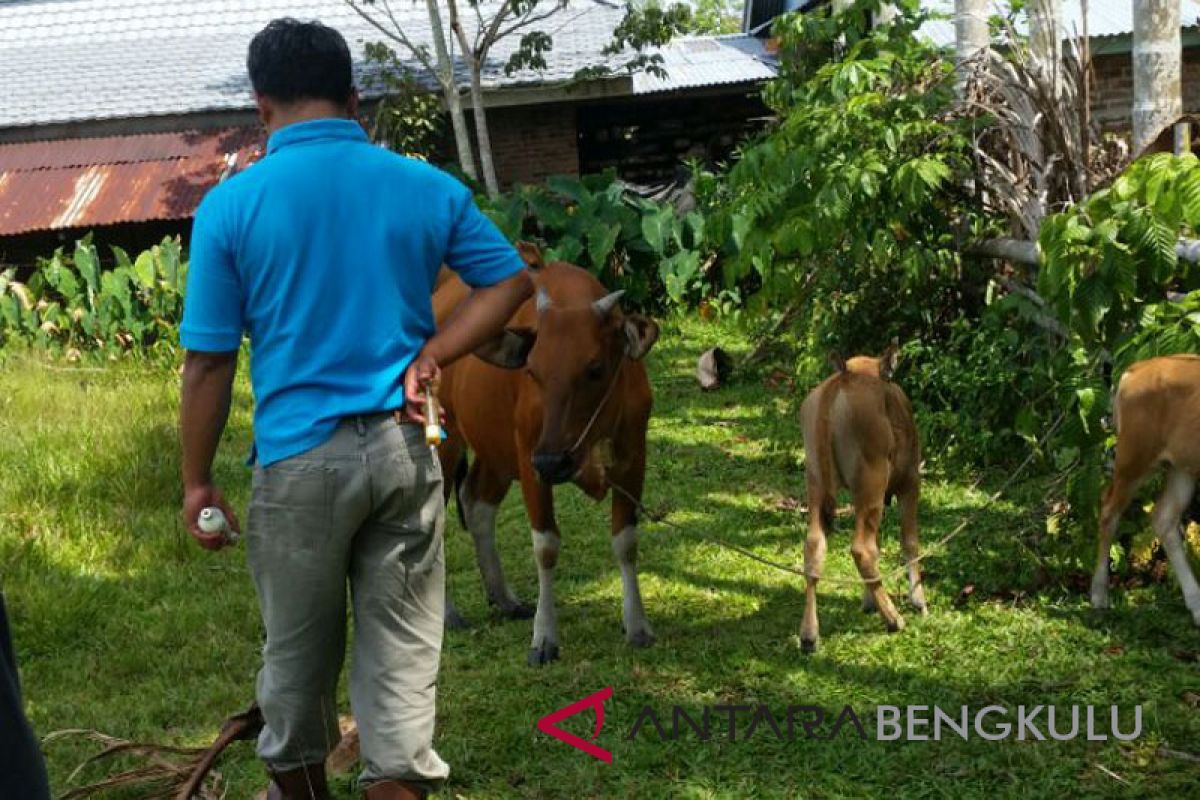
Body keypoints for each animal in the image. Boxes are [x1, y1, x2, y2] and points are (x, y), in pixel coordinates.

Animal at [796, 345, 926, 652]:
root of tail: (841, 380)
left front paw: (869, 601)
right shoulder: (910, 480)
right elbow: (909, 541)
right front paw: (917, 599)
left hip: (816, 481)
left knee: (814, 547)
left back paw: (809, 634)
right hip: (872, 482)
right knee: (861, 549)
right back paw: (893, 619)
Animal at [1094, 355, 1195, 623]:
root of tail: (1135, 369)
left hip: (1181, 467)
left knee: (1164, 518)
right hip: (1136, 455)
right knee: (1108, 508)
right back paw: (1098, 595)